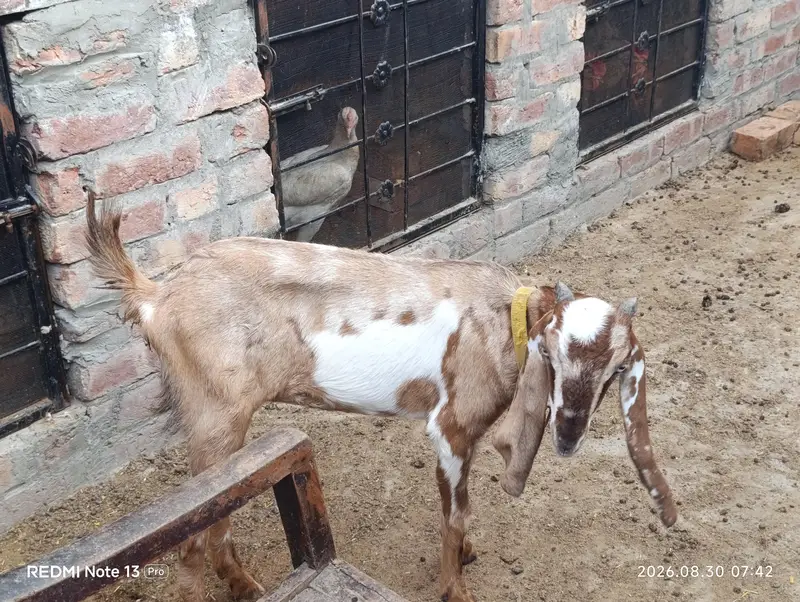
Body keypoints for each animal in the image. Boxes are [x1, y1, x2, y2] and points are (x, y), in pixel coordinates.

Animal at [85, 194, 677, 602]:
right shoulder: (451, 425)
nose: (570, 433)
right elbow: (456, 511)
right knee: (195, 530)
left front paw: (467, 555)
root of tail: (156, 296)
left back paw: (246, 586)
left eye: (616, 368)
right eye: (550, 352)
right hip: (215, 415)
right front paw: (455, 588)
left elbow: (458, 506)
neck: (499, 323)